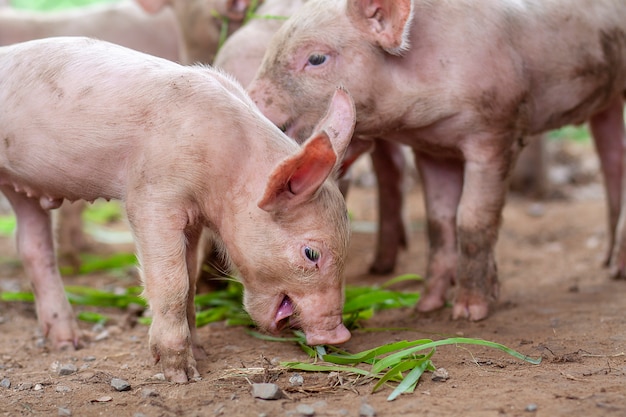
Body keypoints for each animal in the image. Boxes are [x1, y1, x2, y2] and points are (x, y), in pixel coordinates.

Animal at [0, 37, 354, 382]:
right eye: (311, 253)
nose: (339, 335)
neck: (226, 165)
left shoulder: (193, 217)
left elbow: (191, 280)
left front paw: (201, 354)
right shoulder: (151, 198)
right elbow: (174, 284)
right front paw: (181, 374)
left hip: (23, 190)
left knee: (33, 248)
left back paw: (69, 343)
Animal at [249, 0, 624, 320]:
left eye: (316, 58)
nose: (251, 102)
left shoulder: (495, 133)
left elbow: (472, 220)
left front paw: (469, 312)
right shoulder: (431, 151)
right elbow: (438, 224)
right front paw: (425, 306)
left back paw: (616, 271)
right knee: (612, 161)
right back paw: (609, 263)